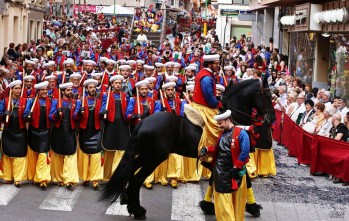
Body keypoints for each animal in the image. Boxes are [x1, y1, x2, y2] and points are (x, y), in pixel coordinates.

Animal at [98, 77, 274, 219]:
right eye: (268, 96)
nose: (272, 119)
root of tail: (143, 121)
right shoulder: (232, 157)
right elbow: (247, 180)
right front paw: (253, 207)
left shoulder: (215, 158)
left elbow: (213, 180)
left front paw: (207, 205)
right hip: (154, 158)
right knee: (136, 179)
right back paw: (138, 210)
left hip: (145, 156)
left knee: (131, 174)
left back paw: (129, 202)